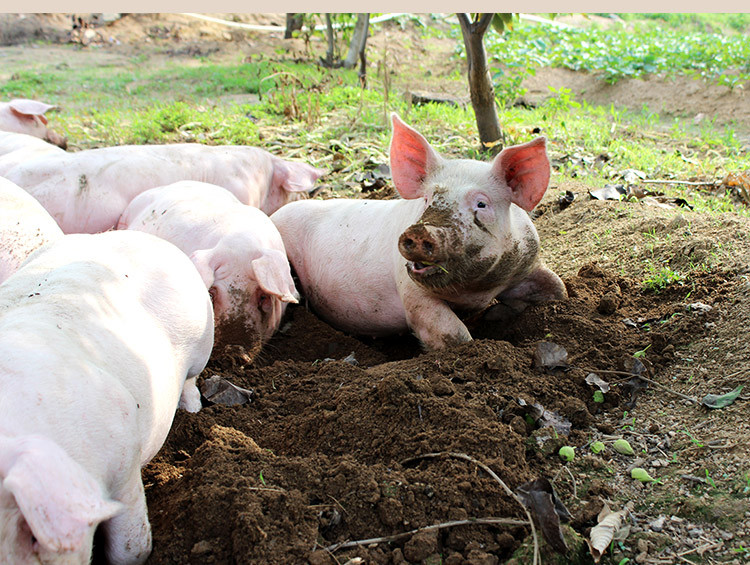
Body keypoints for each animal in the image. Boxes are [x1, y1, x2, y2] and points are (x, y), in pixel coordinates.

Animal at [0, 229, 213, 564]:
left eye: (33, 535)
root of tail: (139, 235)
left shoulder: (123, 461)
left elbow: (131, 548)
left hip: (204, 338)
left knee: (191, 381)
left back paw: (191, 410)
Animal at [274, 113, 568, 350]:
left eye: (481, 204)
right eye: (427, 199)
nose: (421, 230)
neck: (474, 291)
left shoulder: (527, 262)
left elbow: (558, 288)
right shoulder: (411, 292)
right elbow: (453, 335)